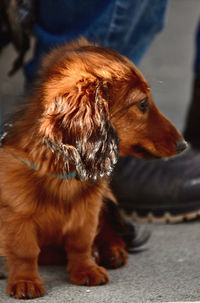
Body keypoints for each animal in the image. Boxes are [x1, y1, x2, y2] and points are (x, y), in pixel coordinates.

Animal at [0, 38, 188, 300]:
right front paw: (25, 281)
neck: (64, 175)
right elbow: (25, 251)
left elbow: (81, 243)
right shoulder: (16, 216)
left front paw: (87, 270)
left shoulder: (88, 210)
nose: (184, 145)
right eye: (142, 104)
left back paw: (112, 250)